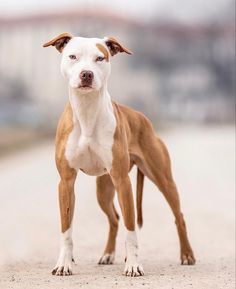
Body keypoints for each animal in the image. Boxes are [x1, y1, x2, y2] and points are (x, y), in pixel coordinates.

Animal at [42, 32, 195, 276]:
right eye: (73, 56)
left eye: (100, 58)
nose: (87, 74)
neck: (87, 111)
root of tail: (143, 118)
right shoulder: (66, 182)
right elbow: (66, 228)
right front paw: (64, 263)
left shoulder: (123, 181)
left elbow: (131, 229)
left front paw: (133, 265)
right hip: (104, 189)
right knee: (114, 218)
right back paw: (108, 254)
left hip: (162, 178)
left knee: (177, 216)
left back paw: (187, 255)